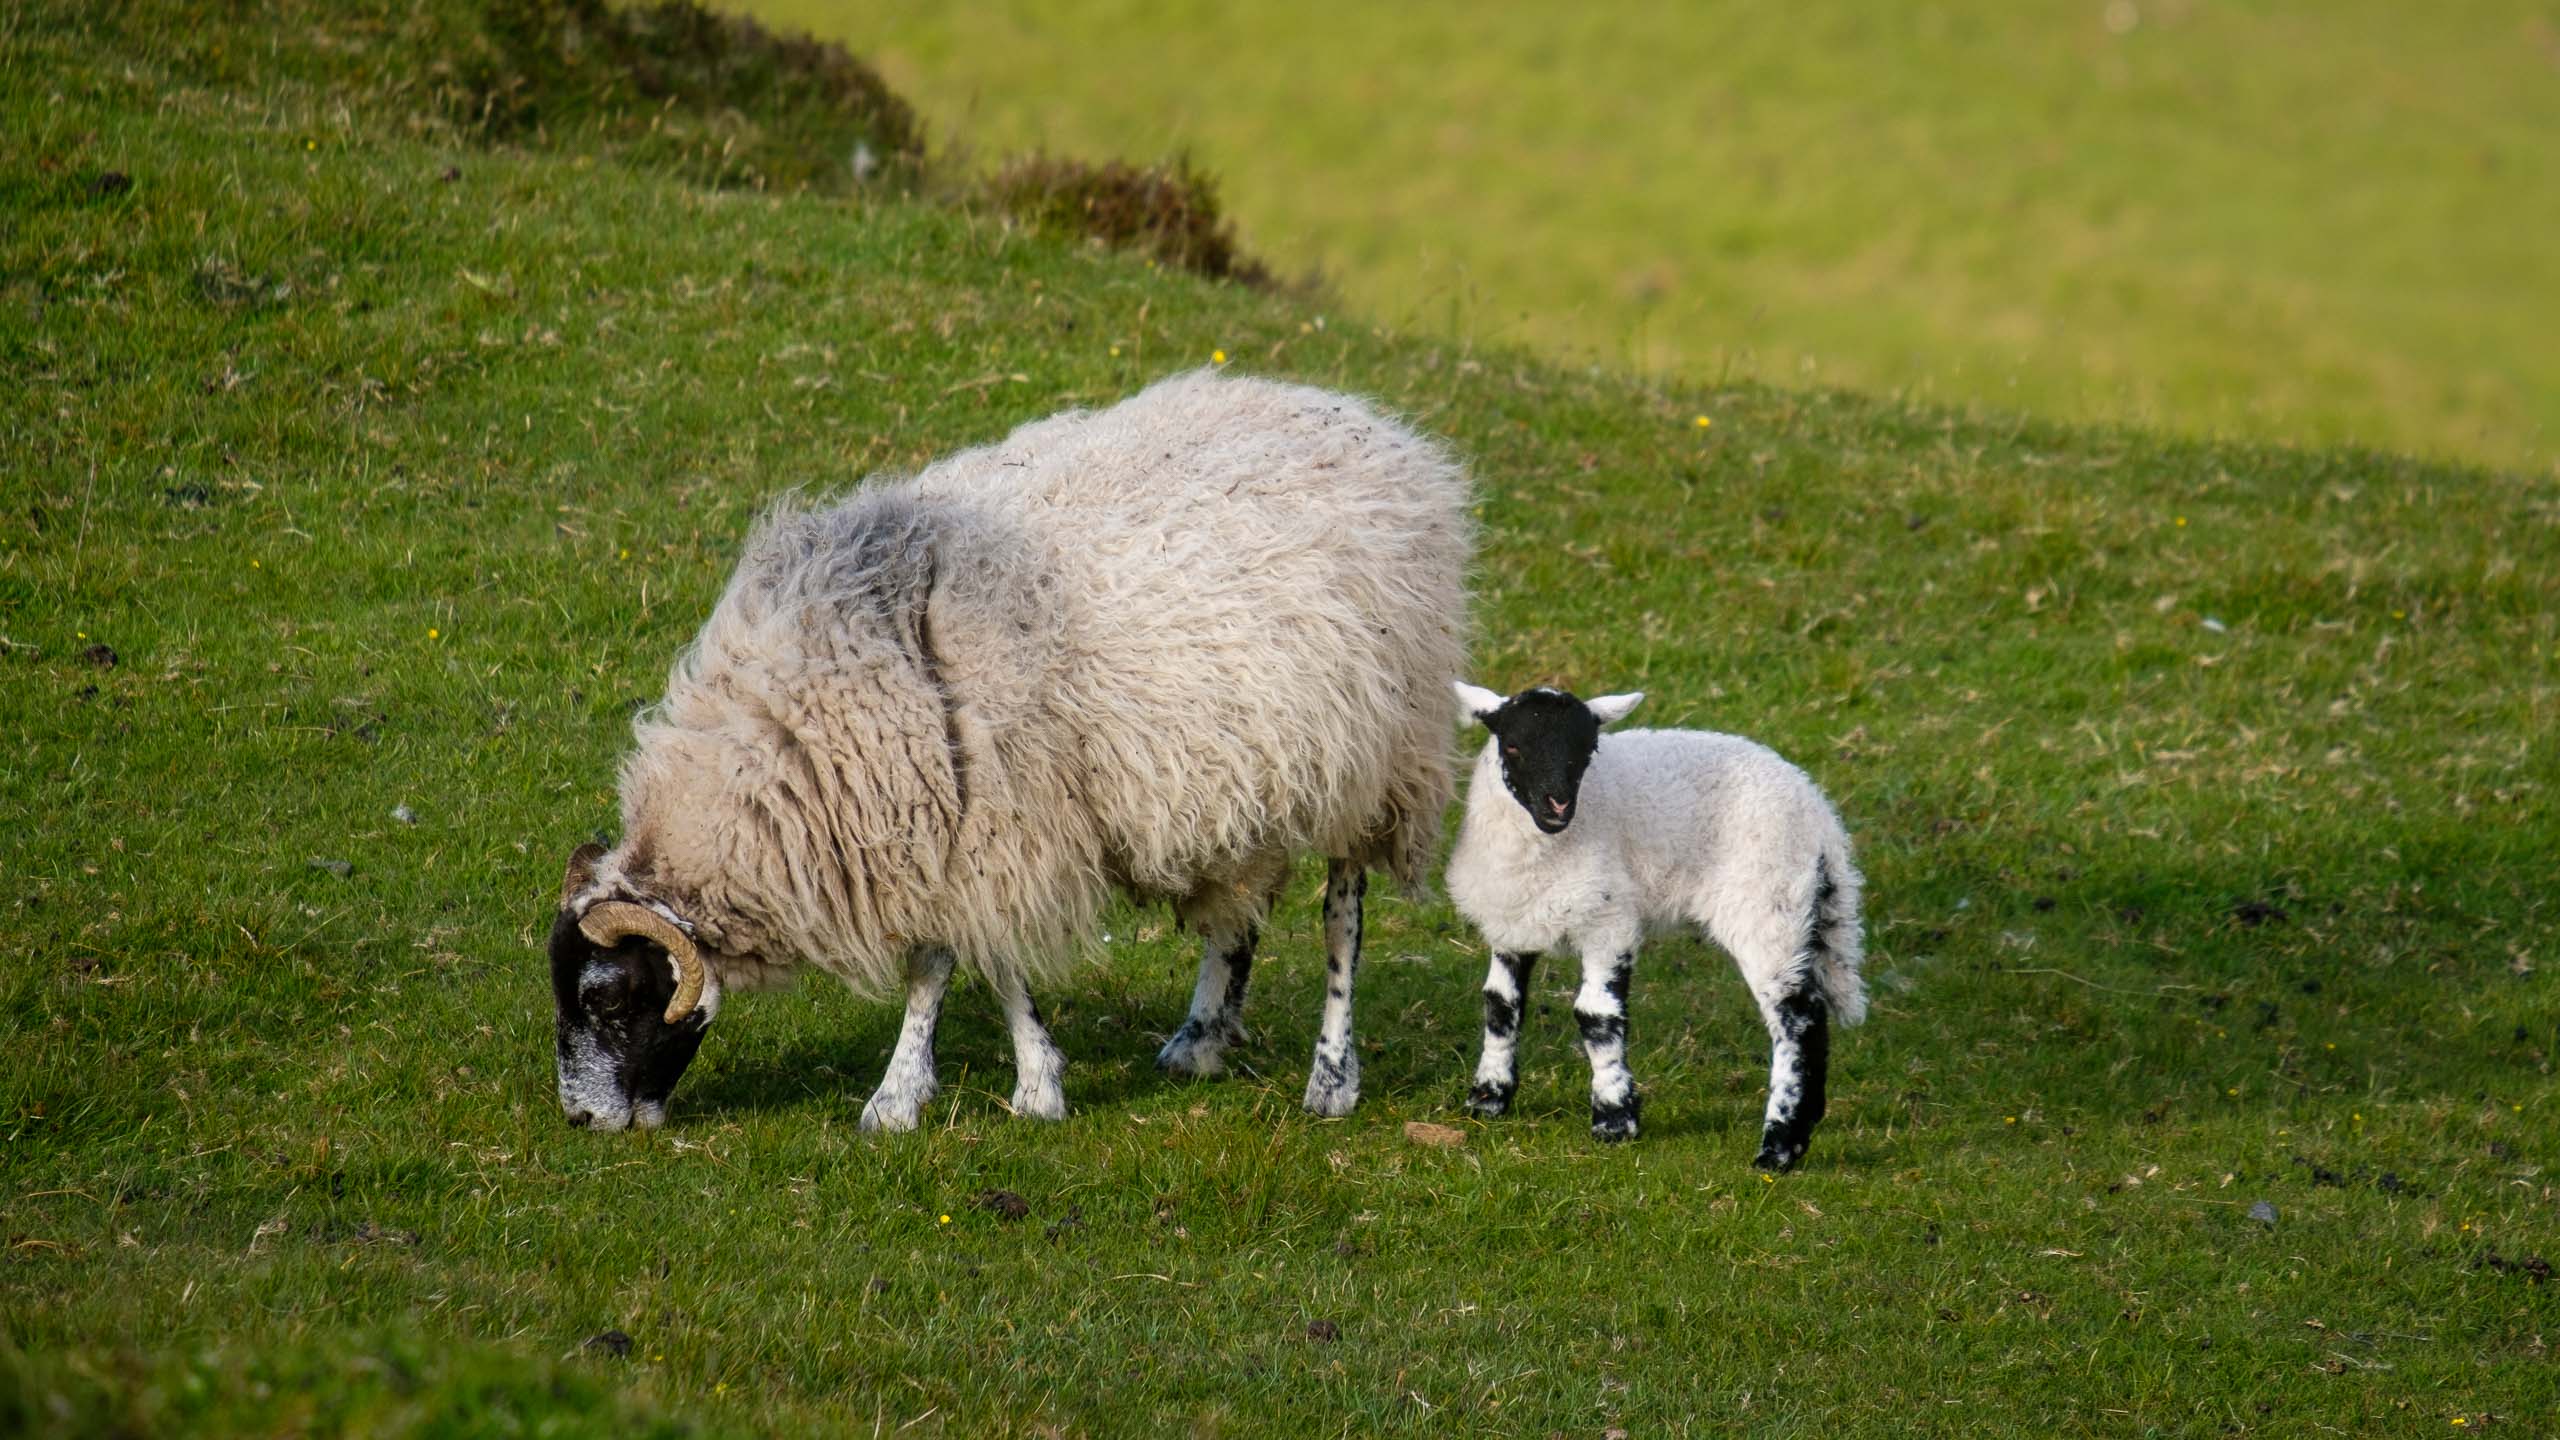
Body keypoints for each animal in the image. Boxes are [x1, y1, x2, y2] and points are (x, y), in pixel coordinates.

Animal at [547, 369, 1473, 1133]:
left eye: (609, 998)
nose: (582, 1121)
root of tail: (1375, 426)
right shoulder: (952, 833)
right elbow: (972, 961)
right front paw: (987, 1081)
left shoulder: (996, 823)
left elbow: (950, 965)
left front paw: (940, 1096)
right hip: (1249, 775)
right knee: (1238, 910)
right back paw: (1203, 1039)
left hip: (1379, 760)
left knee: (1341, 917)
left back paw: (1331, 1079)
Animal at [1443, 682, 1865, 1168]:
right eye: (1512, 745)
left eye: (1587, 749)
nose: (1558, 803)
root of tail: (1820, 816)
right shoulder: (1513, 920)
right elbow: (1500, 1004)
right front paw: (1487, 1099)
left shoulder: (1609, 921)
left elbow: (1596, 1016)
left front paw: (1614, 1119)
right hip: (1793, 910)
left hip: (1767, 905)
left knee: (1797, 1019)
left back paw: (1778, 1148)